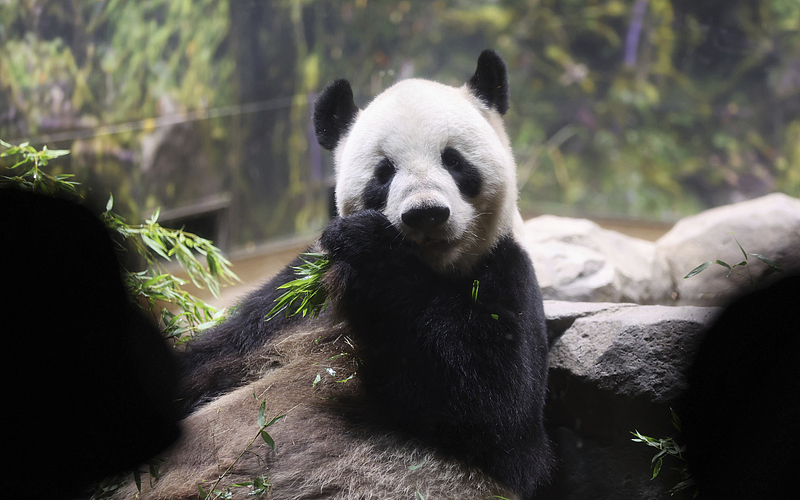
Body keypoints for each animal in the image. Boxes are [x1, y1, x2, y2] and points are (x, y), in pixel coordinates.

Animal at [119, 49, 552, 500]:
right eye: (384, 172)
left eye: (453, 160)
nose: (426, 214)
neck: (431, 271)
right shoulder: (294, 299)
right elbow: (210, 358)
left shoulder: (505, 273)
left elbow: (494, 411)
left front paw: (371, 246)